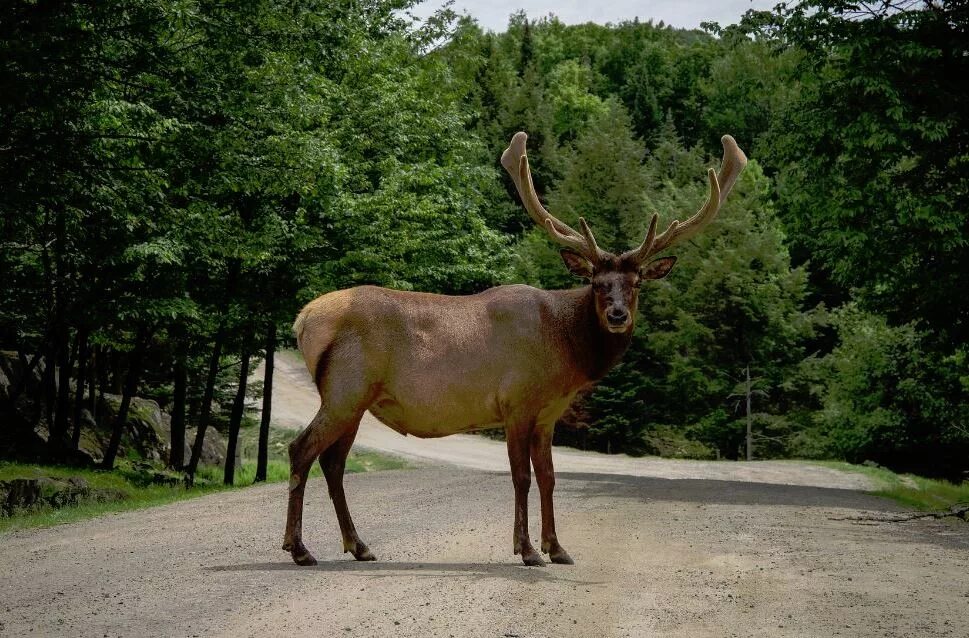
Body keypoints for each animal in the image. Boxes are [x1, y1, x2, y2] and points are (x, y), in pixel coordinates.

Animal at [284, 131, 744, 568]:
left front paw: (558, 547)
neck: (566, 352)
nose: (617, 315)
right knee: (301, 449)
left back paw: (358, 546)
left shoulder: (548, 414)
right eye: (597, 282)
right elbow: (521, 476)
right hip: (345, 388)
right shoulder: (516, 401)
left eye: (636, 284)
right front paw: (527, 550)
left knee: (333, 462)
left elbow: (549, 476)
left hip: (355, 398)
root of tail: (303, 319)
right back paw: (299, 548)